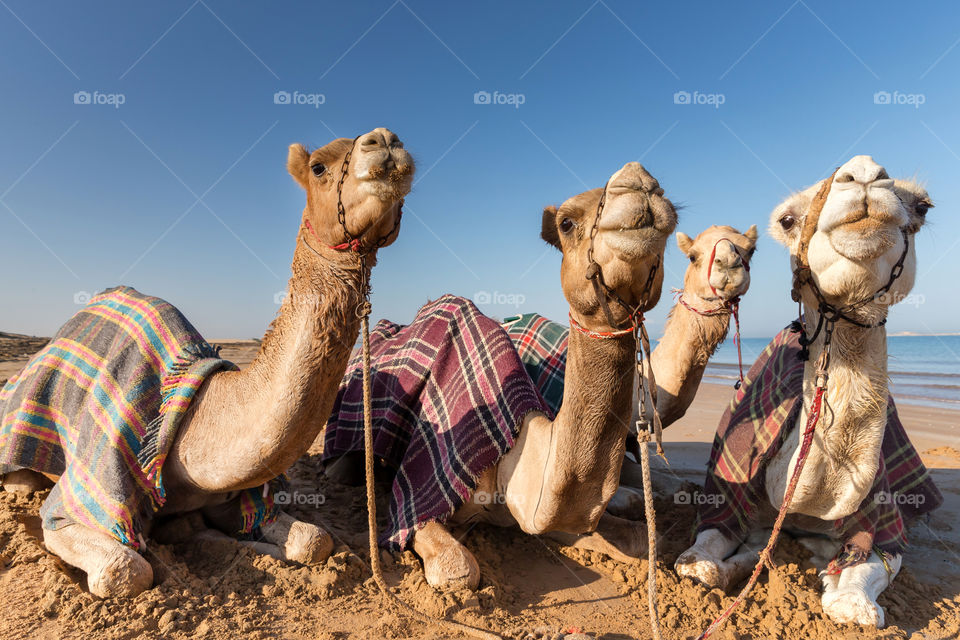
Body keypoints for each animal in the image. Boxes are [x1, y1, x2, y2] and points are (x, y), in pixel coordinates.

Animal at [0, 127, 414, 596]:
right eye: (319, 167)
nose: (385, 140)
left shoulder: (238, 493)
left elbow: (313, 540)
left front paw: (231, 540)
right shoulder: (88, 496)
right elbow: (126, 570)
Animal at [680, 154, 940, 624]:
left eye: (922, 206)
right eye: (787, 219)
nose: (863, 173)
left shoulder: (881, 520)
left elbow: (853, 598)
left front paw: (838, 585)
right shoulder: (730, 494)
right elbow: (703, 562)